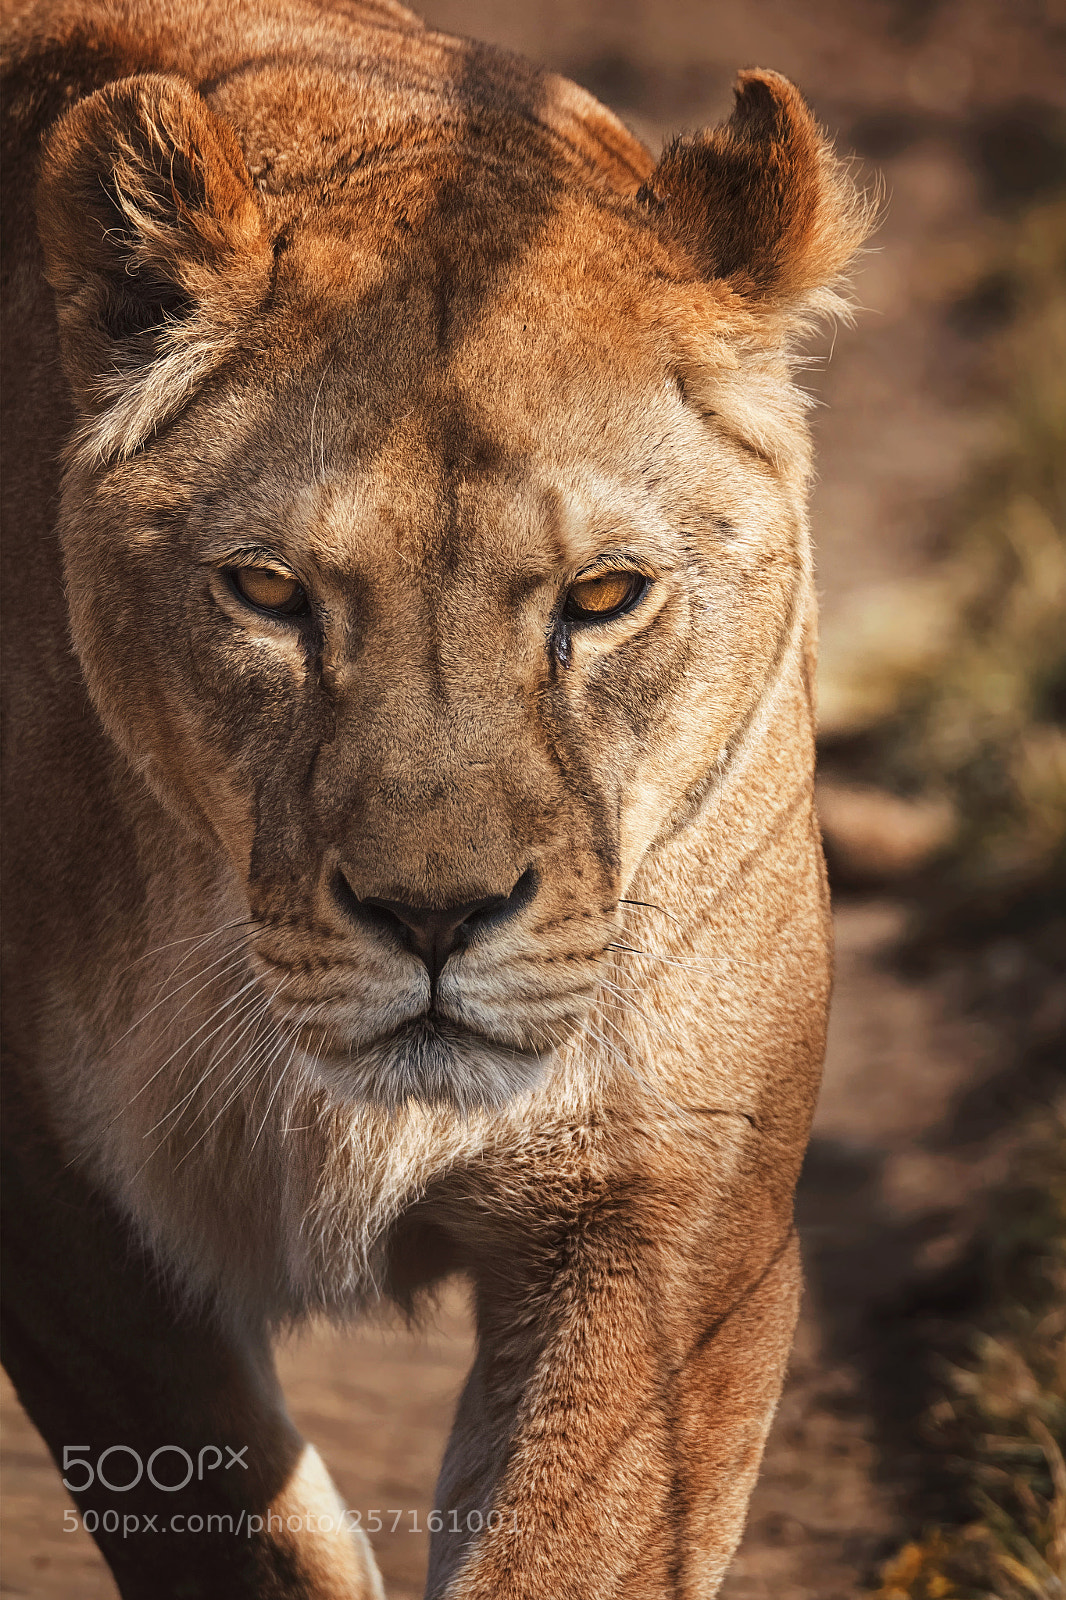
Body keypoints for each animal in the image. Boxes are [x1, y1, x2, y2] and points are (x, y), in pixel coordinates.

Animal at [0, 0, 869, 1594]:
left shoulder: (672, 1207)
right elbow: (239, 1529)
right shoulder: (66, 1226)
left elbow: (570, 1545)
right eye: (269, 594)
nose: (432, 918)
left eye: (604, 596)